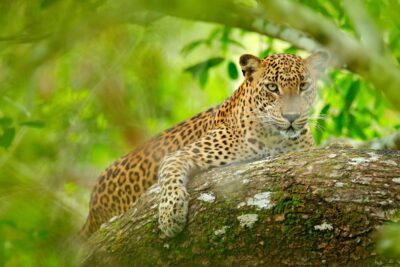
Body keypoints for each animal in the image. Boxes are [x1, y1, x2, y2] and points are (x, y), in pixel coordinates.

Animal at [80, 50, 328, 239]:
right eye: (272, 88)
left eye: (303, 86)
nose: (292, 116)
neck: (277, 139)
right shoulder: (182, 154)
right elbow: (170, 173)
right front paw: (171, 214)